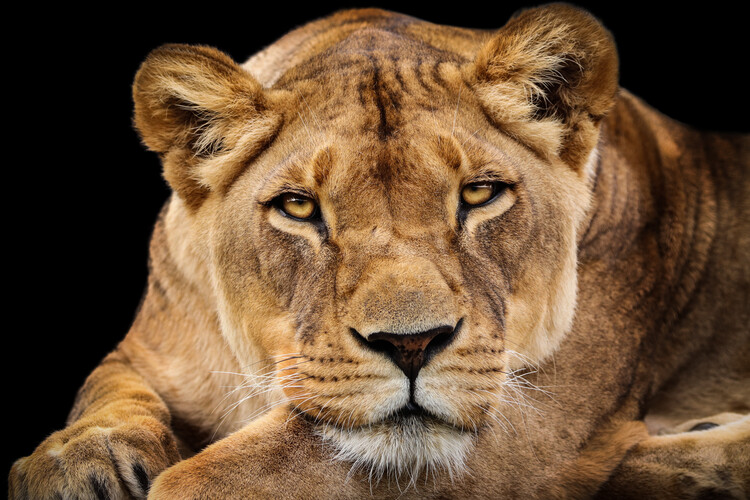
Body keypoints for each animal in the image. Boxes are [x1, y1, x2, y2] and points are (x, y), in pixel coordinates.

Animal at [9, 4, 749, 499]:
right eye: (299, 207)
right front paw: (76, 462)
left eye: (479, 194)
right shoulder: (149, 349)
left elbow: (205, 480)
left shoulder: (532, 429)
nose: (411, 344)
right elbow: (104, 392)